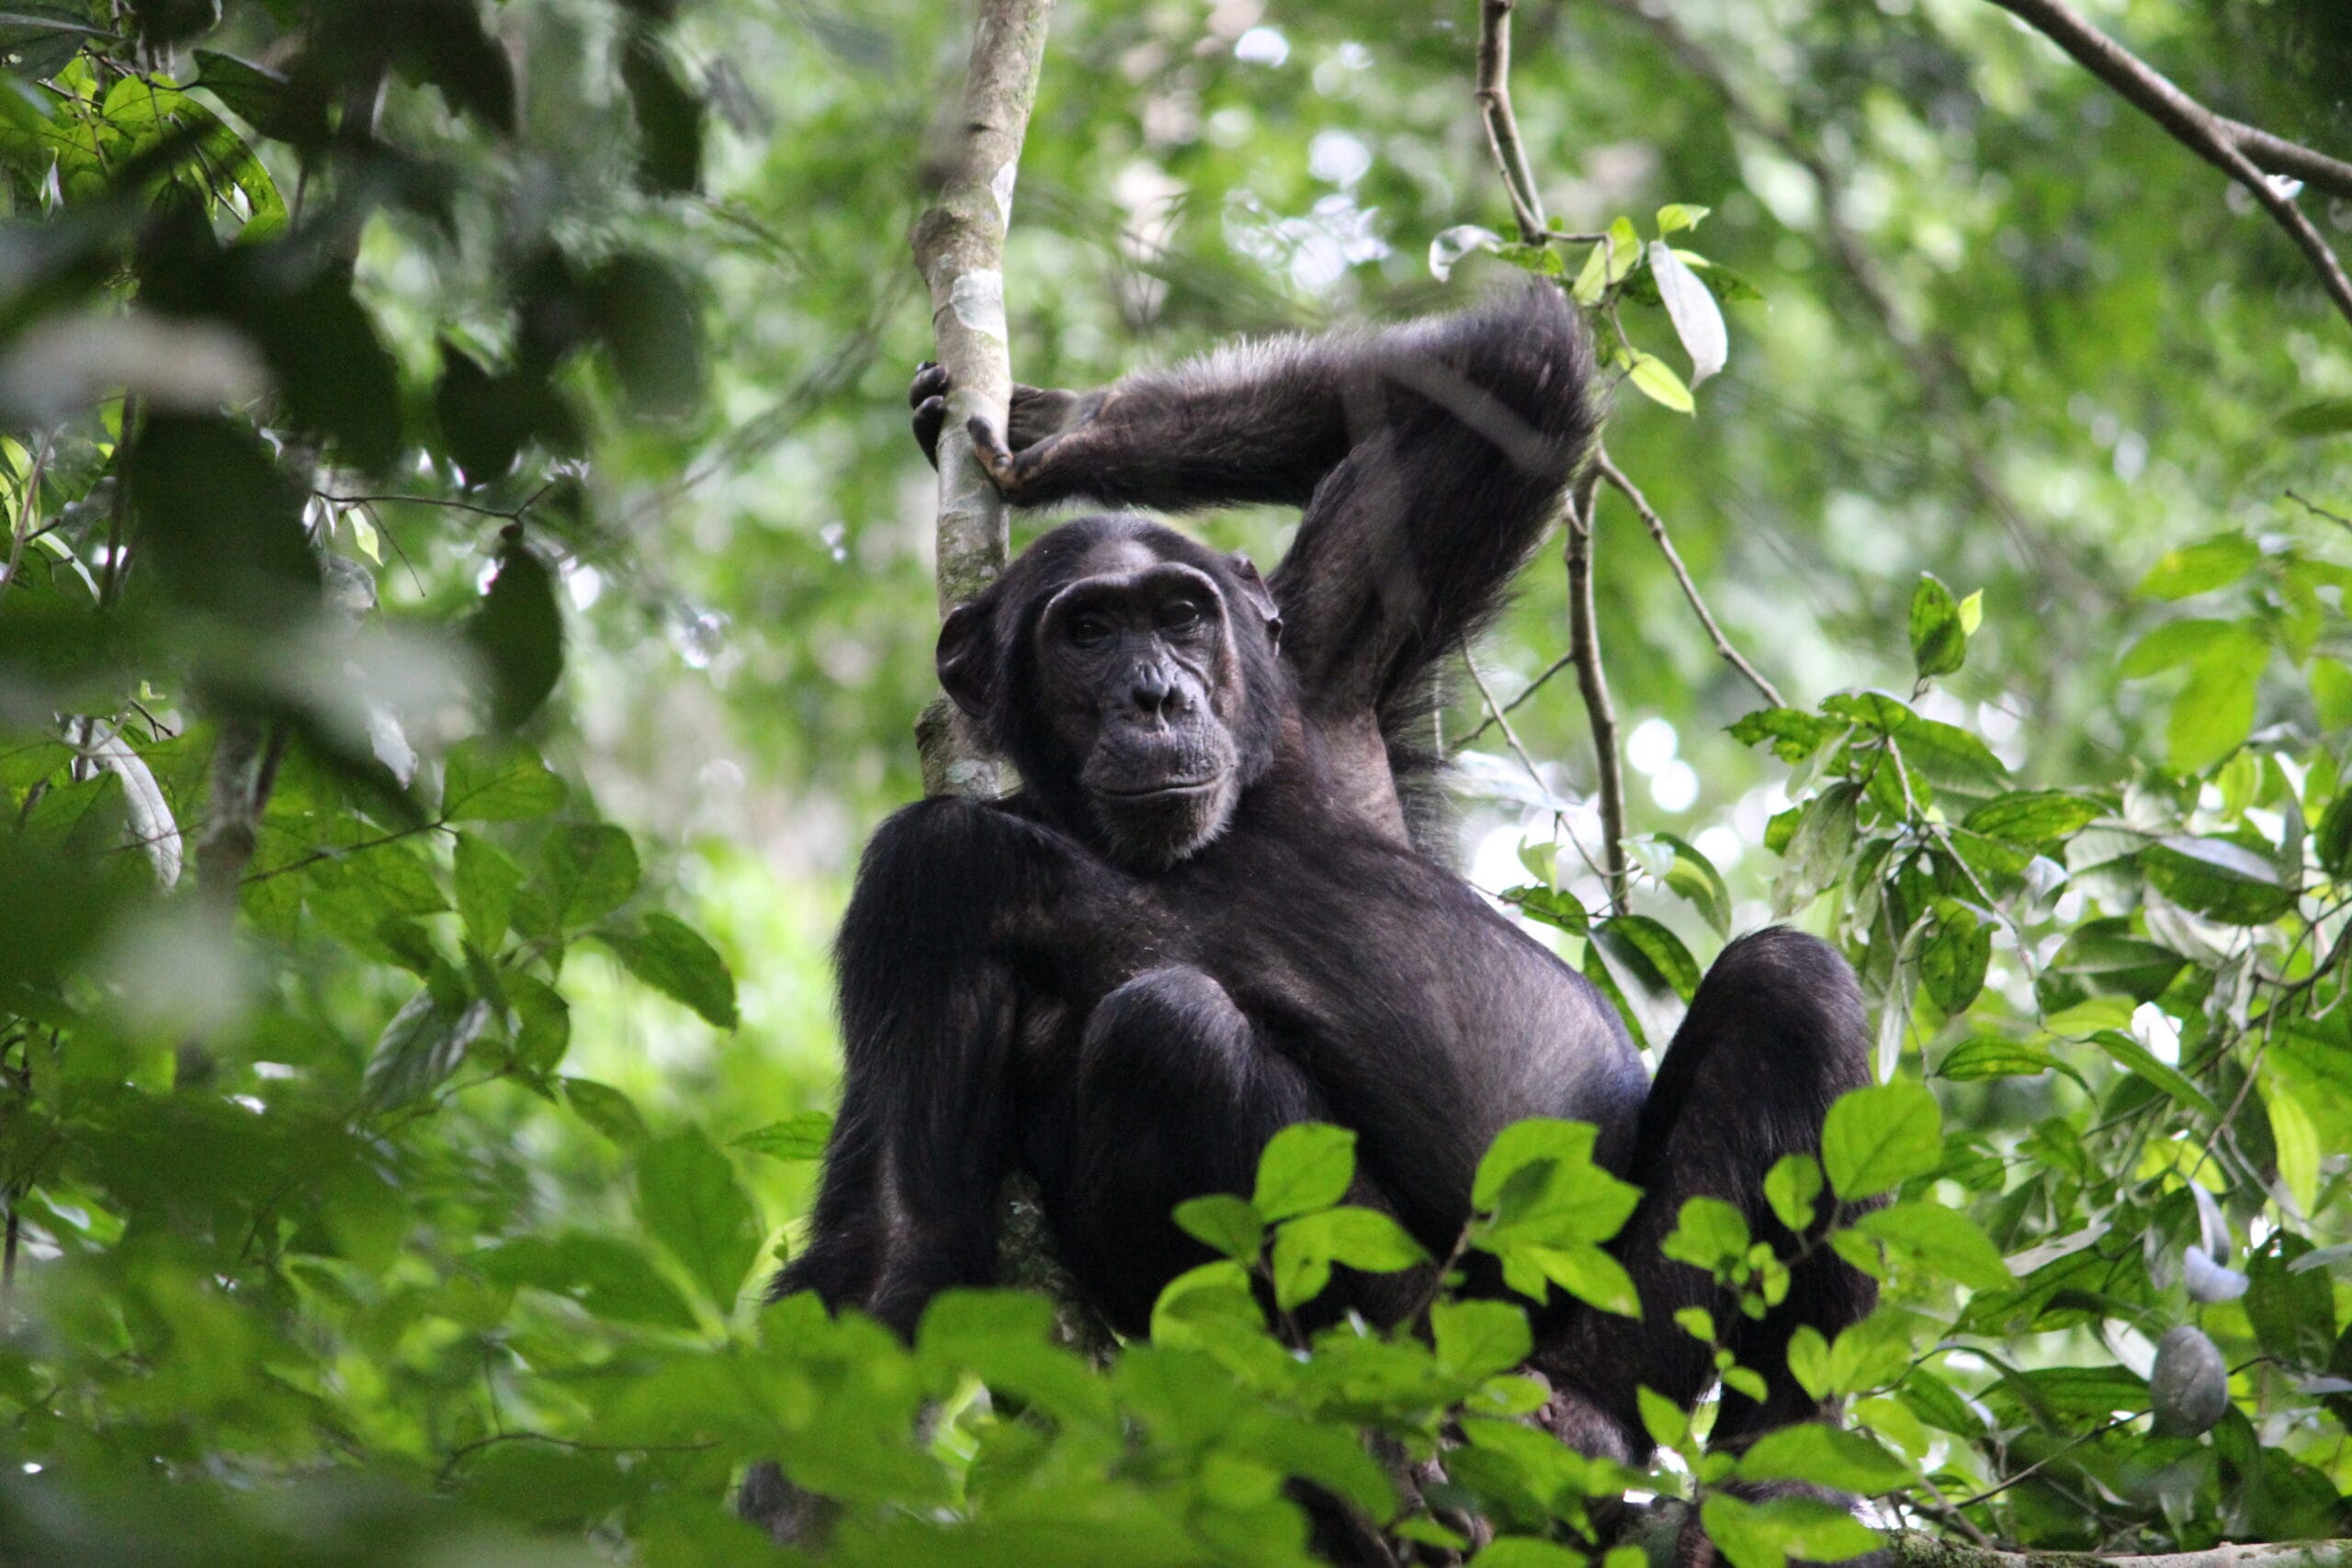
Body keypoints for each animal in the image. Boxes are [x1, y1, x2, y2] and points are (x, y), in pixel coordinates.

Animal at [762, 285, 1882, 1523]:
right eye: (1087, 632)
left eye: (1180, 615)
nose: (1157, 696)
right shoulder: (924, 879)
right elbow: (895, 1242)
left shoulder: (1336, 643)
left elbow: (1514, 386)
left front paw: (1059, 430)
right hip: (1435, 1343)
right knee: (1168, 1030)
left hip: (1623, 1333)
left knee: (1791, 986)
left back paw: (1764, 1474)